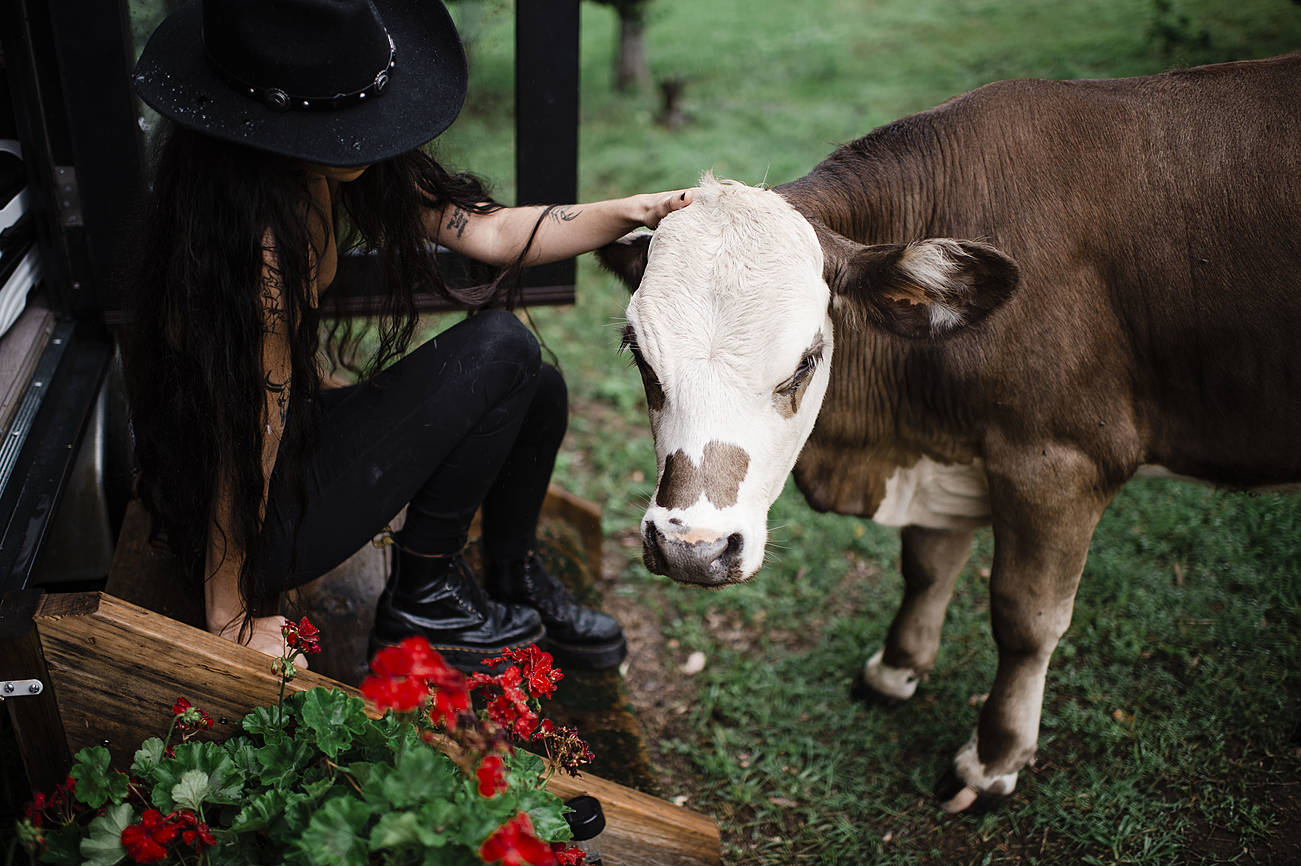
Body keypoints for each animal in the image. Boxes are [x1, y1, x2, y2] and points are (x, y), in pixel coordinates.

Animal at [598, 52, 1301, 811]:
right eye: (638, 354)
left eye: (806, 360)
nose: (690, 550)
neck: (898, 434)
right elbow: (927, 565)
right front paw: (895, 668)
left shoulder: (1061, 461)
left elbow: (1026, 618)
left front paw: (992, 758)